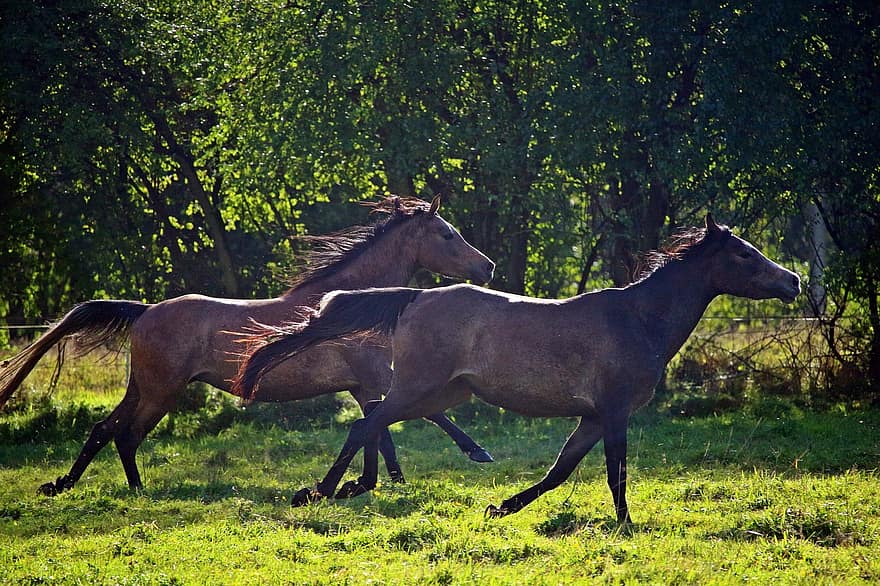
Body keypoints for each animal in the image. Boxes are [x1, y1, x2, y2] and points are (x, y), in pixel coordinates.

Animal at [0, 195, 496, 492]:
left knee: (103, 429)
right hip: (162, 392)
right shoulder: (376, 378)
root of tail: (144, 311)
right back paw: (138, 491)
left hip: (142, 387)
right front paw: (476, 453)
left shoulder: (364, 385)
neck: (350, 304)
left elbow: (381, 431)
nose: (487, 267)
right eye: (447, 234)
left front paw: (382, 481)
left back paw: (63, 483)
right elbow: (421, 415)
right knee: (127, 434)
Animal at [235, 216, 804, 520]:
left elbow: (560, 471)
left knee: (372, 419)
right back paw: (320, 491)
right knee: (365, 422)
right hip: (419, 388)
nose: (794, 280)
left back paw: (359, 485)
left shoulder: (593, 417)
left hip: (441, 394)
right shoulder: (615, 411)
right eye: (745, 255)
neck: (639, 319)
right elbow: (615, 471)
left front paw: (502, 507)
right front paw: (625, 523)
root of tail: (416, 295)